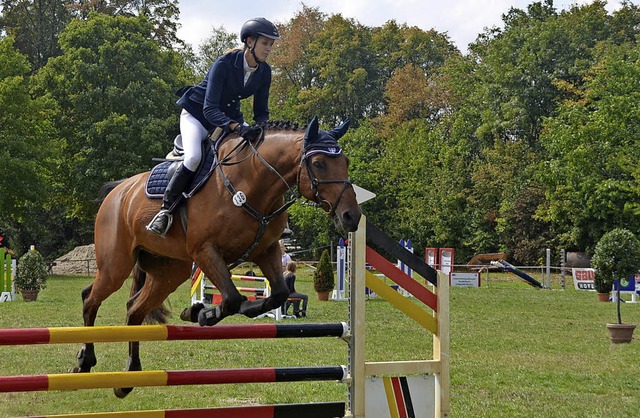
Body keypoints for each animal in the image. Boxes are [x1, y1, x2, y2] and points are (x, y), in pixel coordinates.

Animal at [72, 116, 362, 396]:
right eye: (319, 163)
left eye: (346, 162)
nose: (352, 216)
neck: (251, 183)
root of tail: (119, 190)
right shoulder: (205, 251)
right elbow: (232, 298)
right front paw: (202, 313)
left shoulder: (266, 250)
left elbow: (276, 295)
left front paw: (199, 310)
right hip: (116, 266)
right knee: (90, 299)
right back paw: (85, 361)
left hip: (168, 273)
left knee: (134, 310)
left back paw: (128, 376)